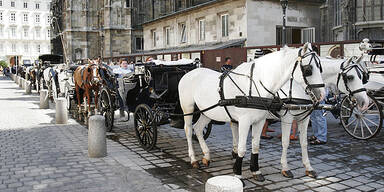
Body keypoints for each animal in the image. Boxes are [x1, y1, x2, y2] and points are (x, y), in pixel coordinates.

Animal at [178, 43, 326, 180]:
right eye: (308, 69)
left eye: (321, 68)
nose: (321, 95)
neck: (256, 87)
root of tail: (189, 73)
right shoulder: (252, 121)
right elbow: (245, 147)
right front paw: (238, 174)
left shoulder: (263, 121)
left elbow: (257, 145)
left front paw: (256, 171)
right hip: (188, 108)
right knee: (188, 129)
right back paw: (193, 159)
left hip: (208, 112)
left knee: (198, 128)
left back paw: (206, 156)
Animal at [230, 55, 370, 180]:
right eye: (350, 77)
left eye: (363, 77)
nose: (365, 102)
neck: (300, 87)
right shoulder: (287, 118)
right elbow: (285, 142)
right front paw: (285, 168)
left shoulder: (304, 119)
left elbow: (303, 143)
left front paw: (308, 168)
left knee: (234, 127)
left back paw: (235, 151)